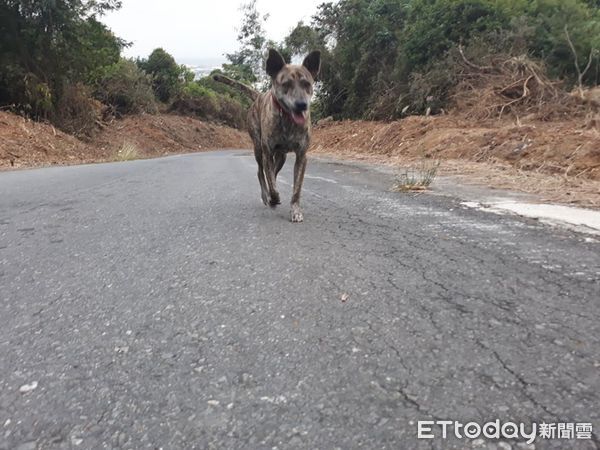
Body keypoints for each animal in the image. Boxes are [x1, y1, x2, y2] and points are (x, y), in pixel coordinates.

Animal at [214, 49, 322, 223]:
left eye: (307, 84)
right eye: (286, 84)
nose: (302, 105)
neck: (287, 119)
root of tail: (258, 96)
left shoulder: (301, 156)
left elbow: (296, 188)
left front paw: (295, 210)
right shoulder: (267, 152)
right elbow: (271, 183)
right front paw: (273, 198)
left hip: (281, 157)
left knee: (273, 173)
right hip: (258, 149)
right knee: (261, 173)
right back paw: (266, 197)